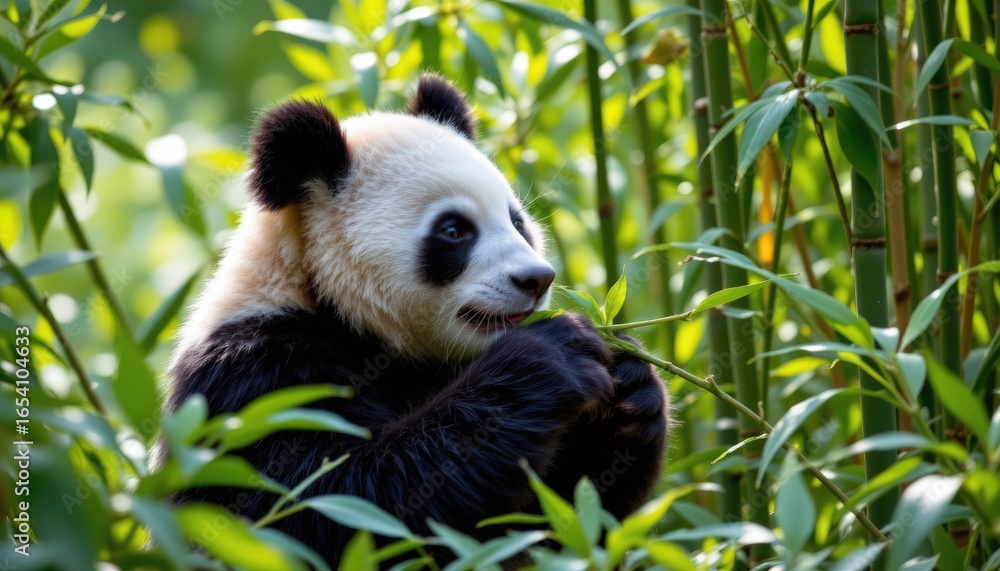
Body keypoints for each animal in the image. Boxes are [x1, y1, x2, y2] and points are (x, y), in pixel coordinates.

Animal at [166, 73, 669, 565]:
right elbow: (326, 508)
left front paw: (631, 388)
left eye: (517, 222)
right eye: (453, 230)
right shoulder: (253, 378)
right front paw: (553, 355)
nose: (536, 278)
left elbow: (558, 523)